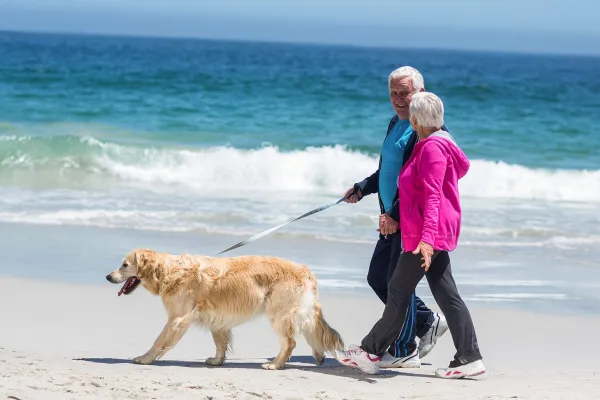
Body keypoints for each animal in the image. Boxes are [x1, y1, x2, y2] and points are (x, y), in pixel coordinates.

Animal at [105, 248, 344, 370]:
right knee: (313, 332)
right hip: (299, 312)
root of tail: (305, 269)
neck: (169, 271)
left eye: (124, 264)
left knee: (290, 342)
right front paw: (217, 360)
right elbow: (220, 342)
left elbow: (159, 341)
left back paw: (275, 364)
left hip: (279, 314)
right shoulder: (217, 318)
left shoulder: (177, 318)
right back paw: (318, 357)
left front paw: (145, 358)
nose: (107, 276)